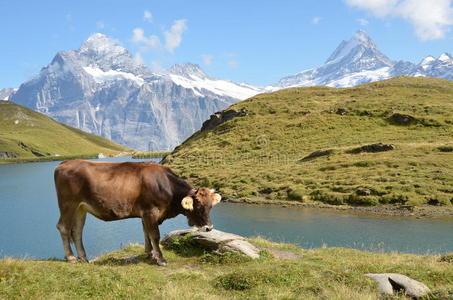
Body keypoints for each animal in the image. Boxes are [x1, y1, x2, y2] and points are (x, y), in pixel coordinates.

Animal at [54, 161, 221, 266]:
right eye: (198, 206)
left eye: (210, 206)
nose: (209, 228)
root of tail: (64, 163)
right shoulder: (150, 211)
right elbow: (154, 235)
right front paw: (160, 259)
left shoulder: (144, 215)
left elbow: (146, 232)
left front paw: (150, 253)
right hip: (68, 204)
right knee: (63, 227)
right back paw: (71, 257)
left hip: (81, 208)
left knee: (77, 231)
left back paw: (83, 258)